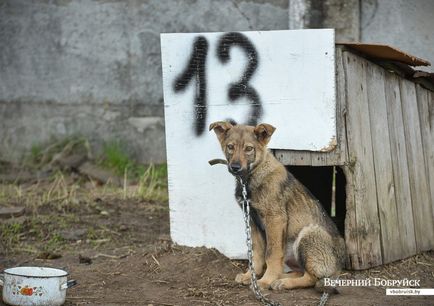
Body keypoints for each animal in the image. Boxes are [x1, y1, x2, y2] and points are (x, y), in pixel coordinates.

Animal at [210, 120, 346, 290]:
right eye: (230, 147)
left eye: (249, 149)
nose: (235, 167)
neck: (252, 177)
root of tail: (339, 267)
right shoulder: (252, 220)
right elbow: (257, 253)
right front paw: (251, 276)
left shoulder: (274, 219)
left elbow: (271, 254)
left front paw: (265, 281)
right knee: (299, 271)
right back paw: (281, 277)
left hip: (307, 233)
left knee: (312, 278)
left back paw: (283, 282)